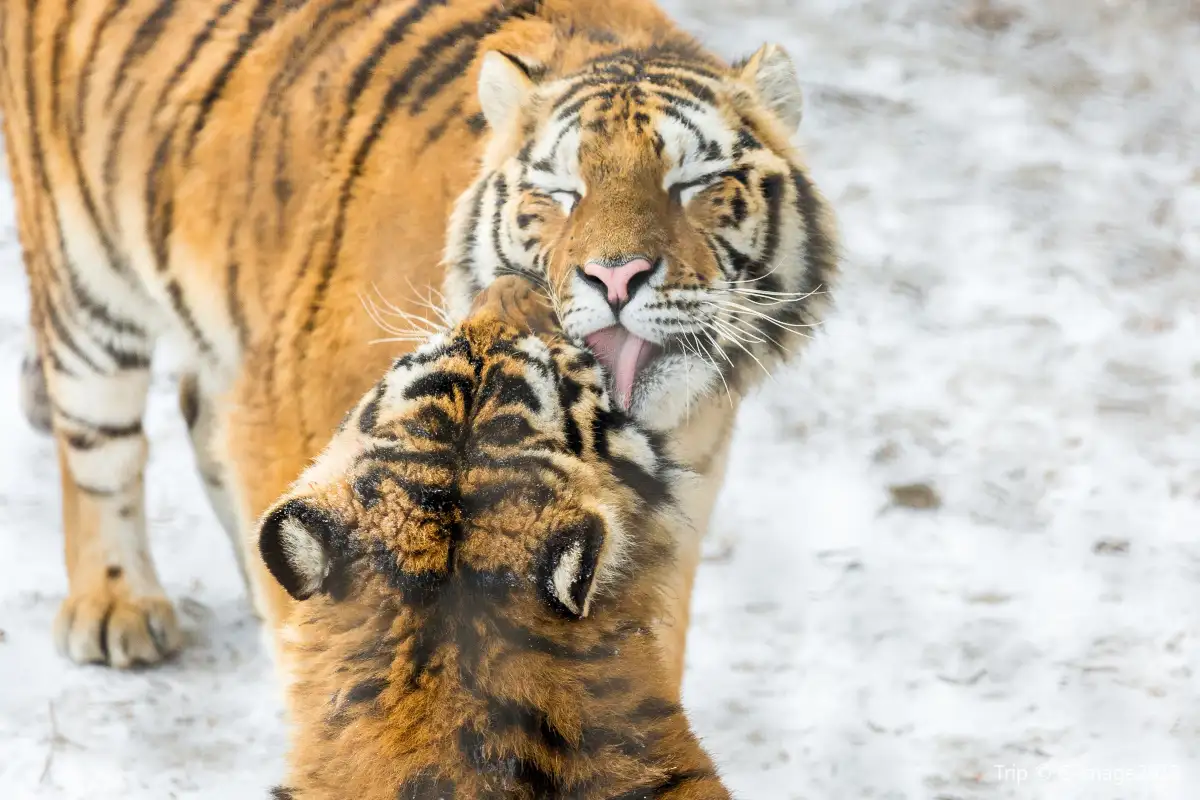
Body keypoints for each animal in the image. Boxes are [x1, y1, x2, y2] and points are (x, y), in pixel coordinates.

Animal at [0, 0, 838, 685]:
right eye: (561, 192)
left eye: (692, 184)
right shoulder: (293, 426)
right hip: (86, 285)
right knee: (101, 446)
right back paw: (117, 608)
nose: (616, 276)